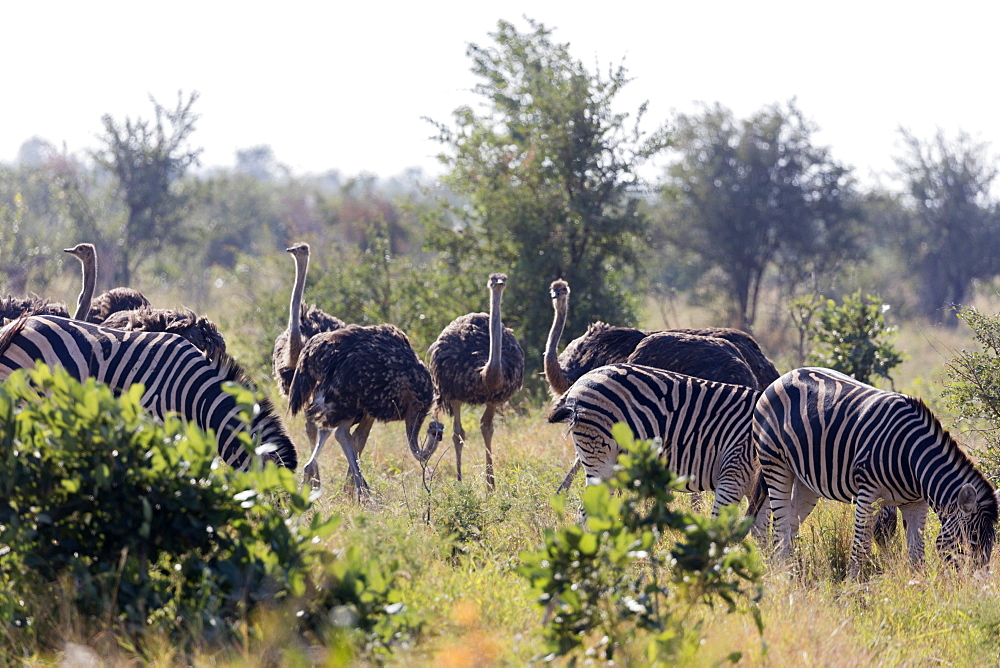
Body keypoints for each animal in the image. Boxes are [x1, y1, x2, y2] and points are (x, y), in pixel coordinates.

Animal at [752, 368, 996, 576]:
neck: (912, 460)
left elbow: (917, 554)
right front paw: (853, 591)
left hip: (807, 480)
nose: (976, 590)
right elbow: (861, 547)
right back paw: (784, 575)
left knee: (790, 522)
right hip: (775, 464)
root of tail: (785, 375)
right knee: (780, 524)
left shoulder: (916, 504)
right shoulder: (867, 494)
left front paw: (919, 587)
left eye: (992, 544)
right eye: (971, 541)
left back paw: (795, 573)